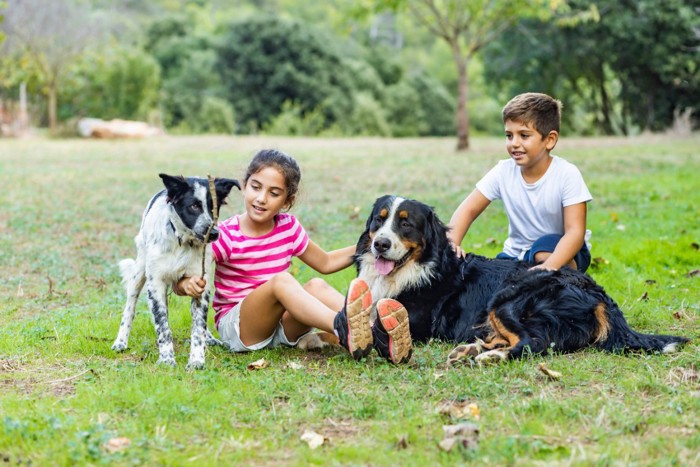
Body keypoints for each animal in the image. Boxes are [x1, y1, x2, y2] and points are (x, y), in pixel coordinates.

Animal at [110, 174, 239, 372]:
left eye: (214, 207)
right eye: (194, 206)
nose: (214, 234)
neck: (183, 242)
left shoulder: (201, 283)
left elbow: (198, 326)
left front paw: (196, 360)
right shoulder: (156, 284)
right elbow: (163, 326)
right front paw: (166, 359)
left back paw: (209, 337)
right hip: (139, 270)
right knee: (130, 306)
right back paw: (121, 341)